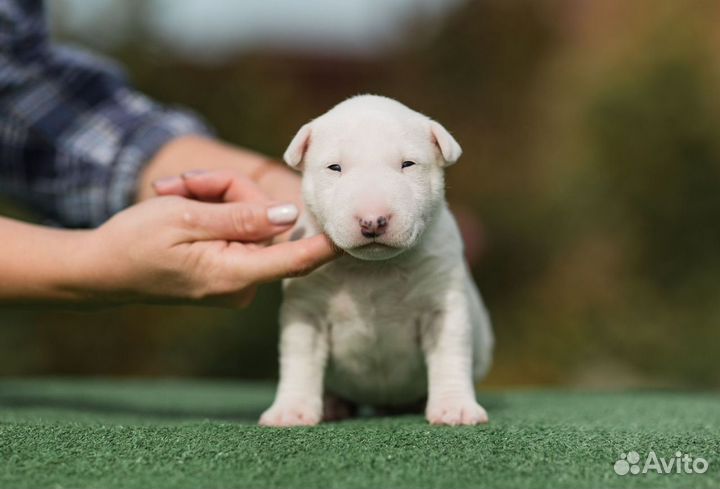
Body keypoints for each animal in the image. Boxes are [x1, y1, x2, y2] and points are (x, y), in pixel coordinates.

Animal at [260, 94, 496, 424]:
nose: (373, 221)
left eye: (408, 164)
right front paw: (290, 410)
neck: (372, 268)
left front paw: (455, 407)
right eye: (334, 167)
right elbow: (300, 361)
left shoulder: (442, 305)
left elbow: (450, 354)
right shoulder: (306, 312)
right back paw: (332, 405)